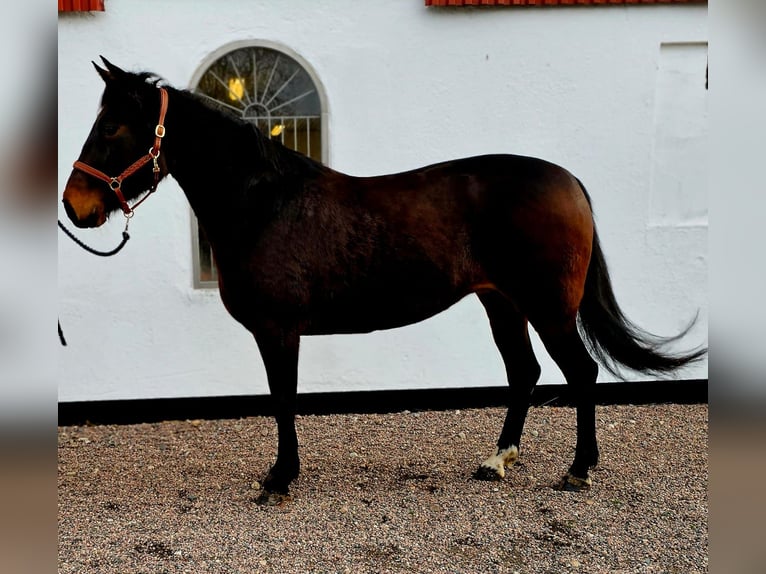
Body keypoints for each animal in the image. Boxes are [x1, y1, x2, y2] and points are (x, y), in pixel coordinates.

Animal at [61, 58, 708, 506]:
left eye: (112, 126)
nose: (74, 205)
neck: (265, 201)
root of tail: (568, 181)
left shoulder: (277, 331)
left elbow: (282, 401)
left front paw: (280, 480)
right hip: (502, 303)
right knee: (524, 372)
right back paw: (497, 461)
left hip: (548, 308)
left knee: (580, 373)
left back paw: (578, 470)